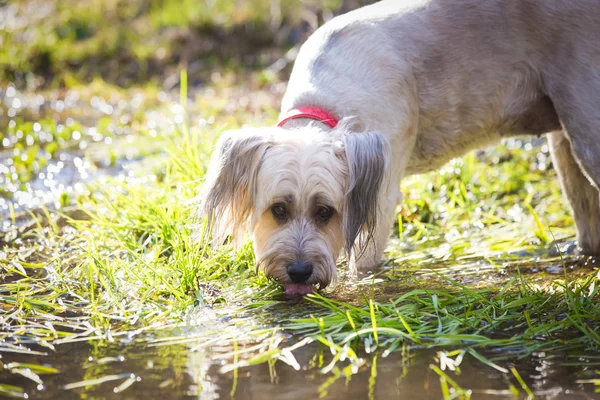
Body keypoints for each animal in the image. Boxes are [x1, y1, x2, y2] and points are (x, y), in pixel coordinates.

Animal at [199, 0, 600, 294]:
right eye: (278, 210)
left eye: (325, 212)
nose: (299, 271)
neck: (326, 110)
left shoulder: (380, 190)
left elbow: (364, 262)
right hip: (564, 139)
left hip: (586, 130)